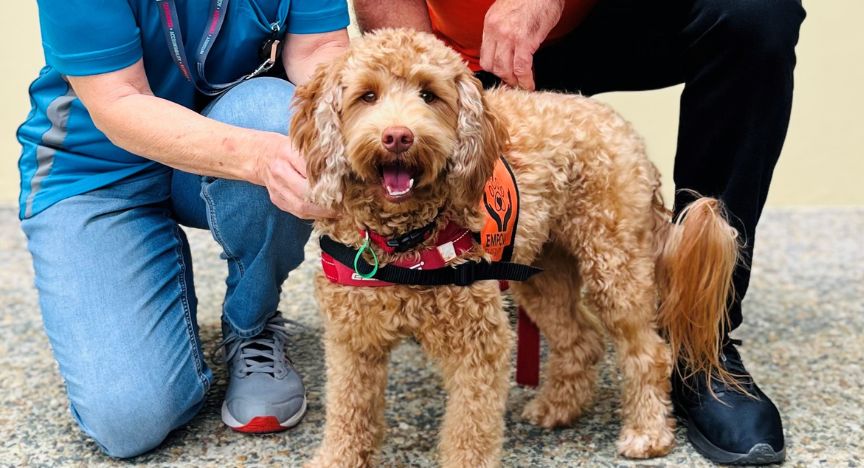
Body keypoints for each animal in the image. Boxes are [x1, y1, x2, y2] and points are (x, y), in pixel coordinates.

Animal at [294, 30, 740, 468]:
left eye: (428, 95)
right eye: (367, 96)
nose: (398, 136)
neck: (403, 242)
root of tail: (623, 129)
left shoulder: (478, 345)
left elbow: (470, 433)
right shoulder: (352, 341)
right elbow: (348, 415)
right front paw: (336, 458)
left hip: (615, 265)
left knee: (649, 352)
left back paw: (647, 433)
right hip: (542, 273)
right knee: (582, 339)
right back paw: (558, 407)